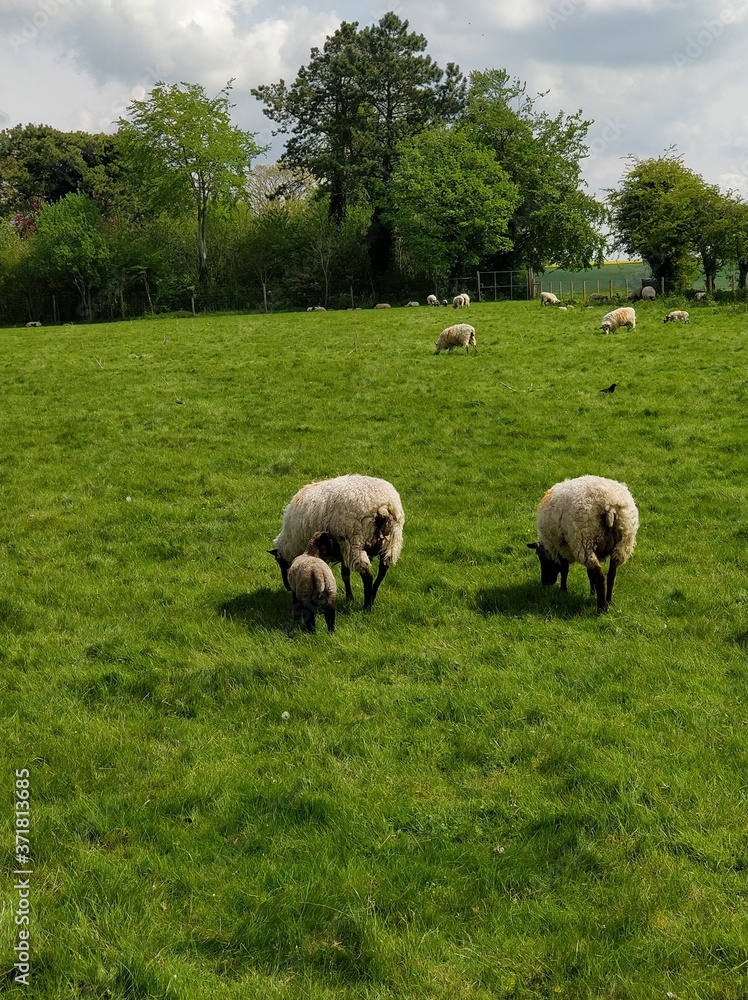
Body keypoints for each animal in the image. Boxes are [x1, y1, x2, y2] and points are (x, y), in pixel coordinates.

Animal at [269, 474, 405, 610]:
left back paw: (367, 606)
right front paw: (349, 598)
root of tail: (383, 507)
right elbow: (345, 574)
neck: (291, 544)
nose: (287, 587)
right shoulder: (343, 548)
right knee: (383, 569)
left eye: (280, 563)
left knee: (367, 576)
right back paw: (373, 596)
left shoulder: (341, 547)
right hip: (391, 540)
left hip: (355, 541)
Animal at [527, 474, 639, 614]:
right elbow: (589, 573)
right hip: (622, 543)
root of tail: (609, 505)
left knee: (600, 575)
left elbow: (565, 569)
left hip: (584, 540)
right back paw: (609, 602)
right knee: (611, 574)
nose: (545, 582)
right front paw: (592, 593)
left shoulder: (561, 547)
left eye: (541, 558)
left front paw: (563, 590)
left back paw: (601, 608)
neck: (549, 548)